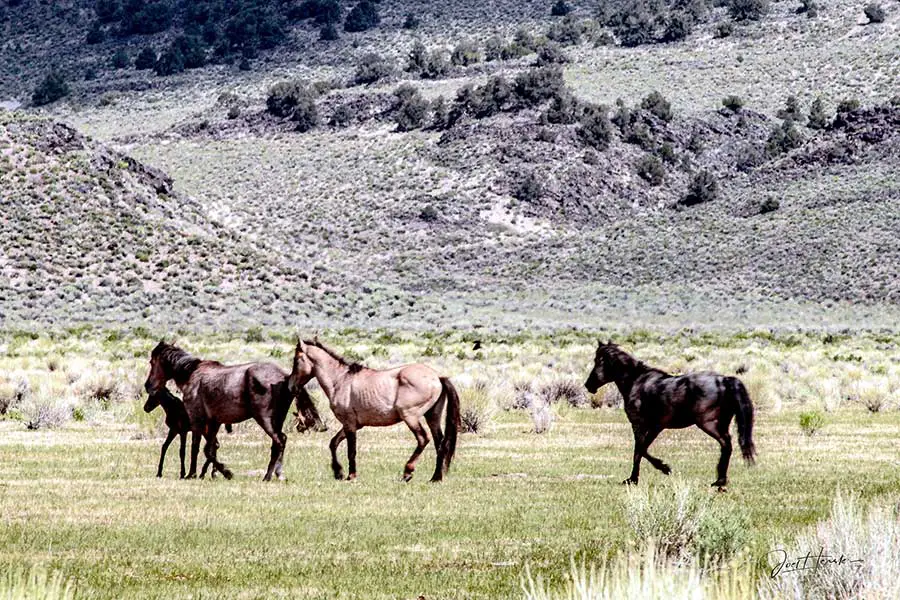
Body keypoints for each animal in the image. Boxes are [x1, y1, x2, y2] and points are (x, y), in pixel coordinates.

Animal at [146, 340, 328, 480]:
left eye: (152, 362)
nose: (148, 385)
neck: (192, 373)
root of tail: (285, 377)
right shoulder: (213, 424)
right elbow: (209, 450)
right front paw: (219, 472)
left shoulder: (197, 421)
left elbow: (196, 448)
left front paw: (195, 474)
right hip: (277, 420)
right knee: (279, 443)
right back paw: (277, 474)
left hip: (265, 420)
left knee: (279, 441)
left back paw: (269, 476)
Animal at [588, 340, 756, 490]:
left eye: (598, 361)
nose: (588, 385)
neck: (636, 382)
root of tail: (724, 380)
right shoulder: (656, 427)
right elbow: (643, 449)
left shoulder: (639, 425)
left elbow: (639, 450)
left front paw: (642, 476)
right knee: (726, 446)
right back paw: (720, 480)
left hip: (709, 424)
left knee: (726, 444)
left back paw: (720, 481)